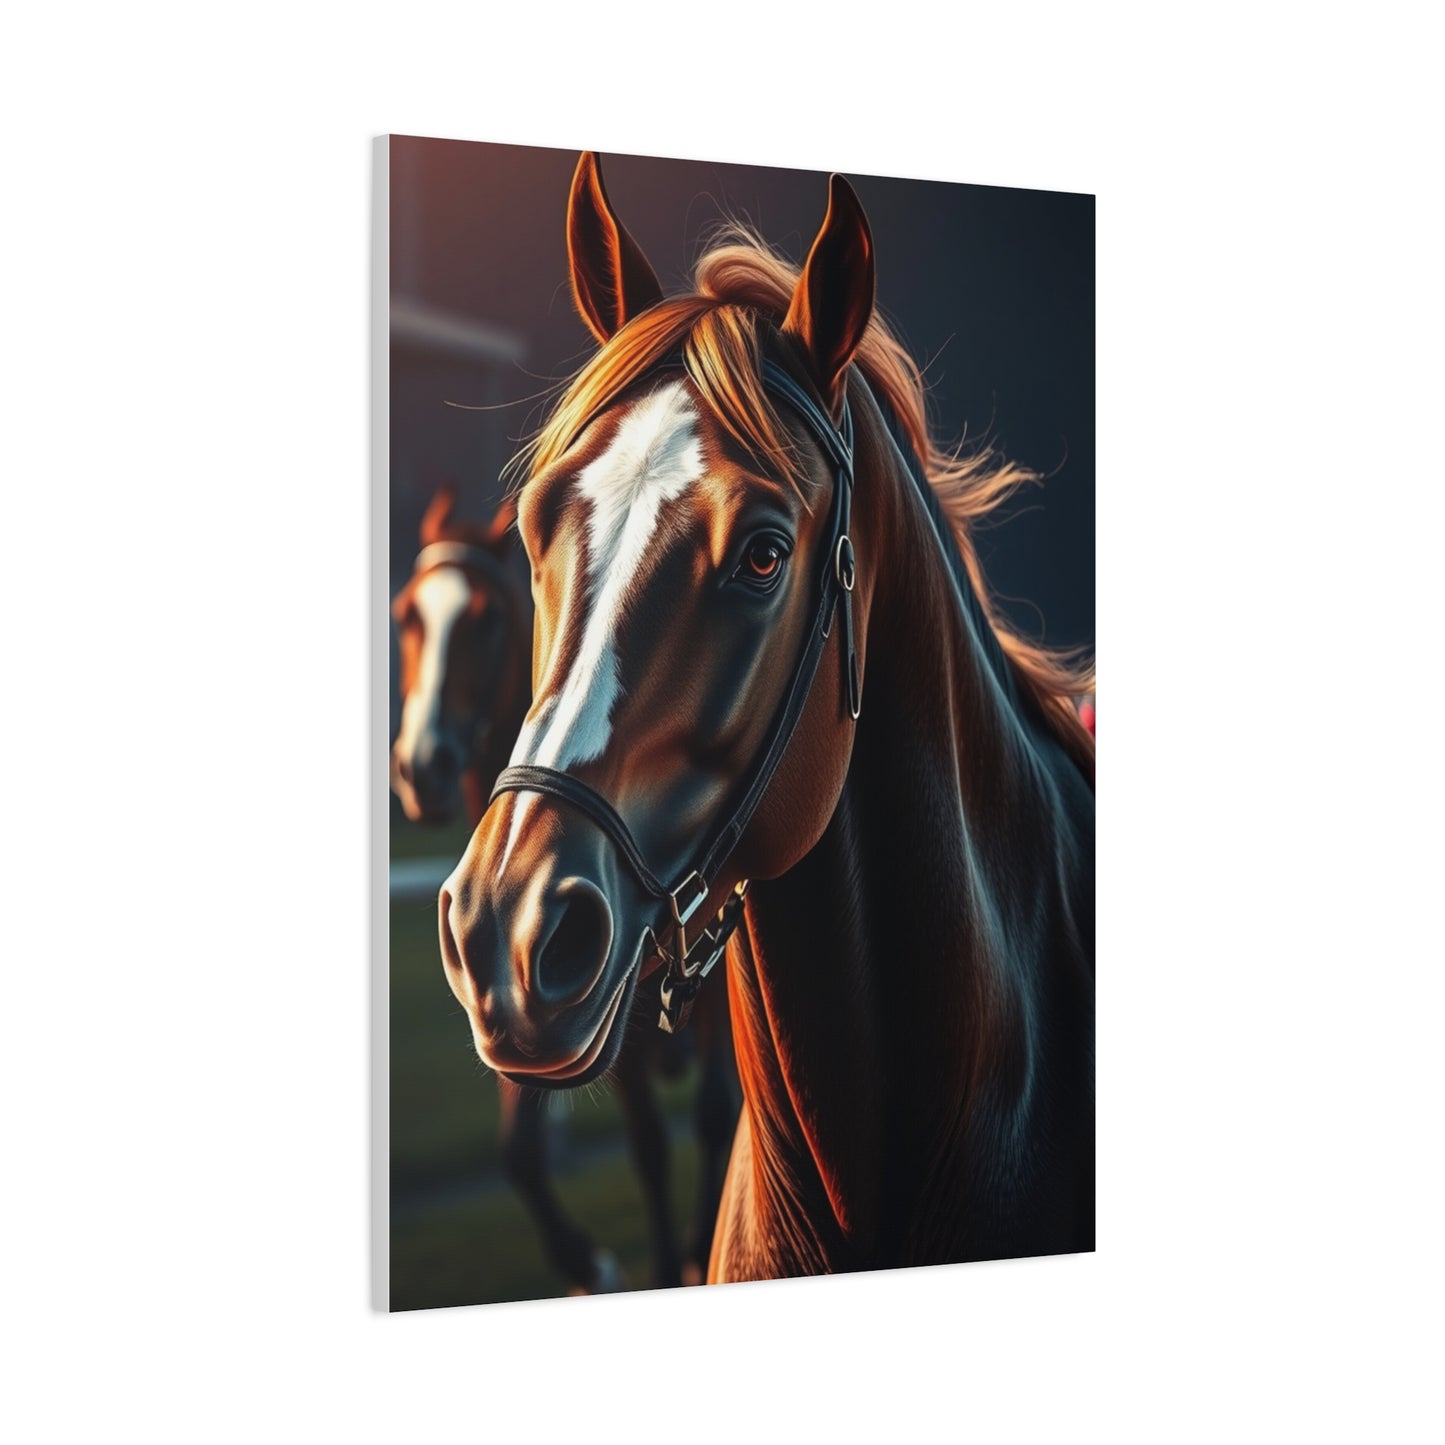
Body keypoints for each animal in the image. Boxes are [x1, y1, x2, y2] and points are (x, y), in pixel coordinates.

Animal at [392, 483, 738, 1291]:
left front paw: (694, 1248)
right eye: (405, 615)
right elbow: (544, 1149)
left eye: (485, 618)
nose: (421, 767)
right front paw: (595, 1263)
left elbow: (710, 1115)